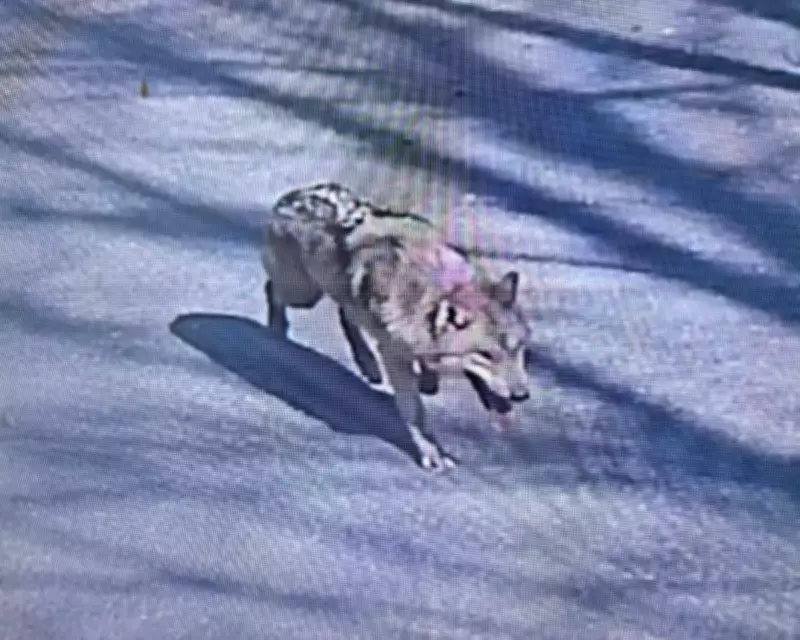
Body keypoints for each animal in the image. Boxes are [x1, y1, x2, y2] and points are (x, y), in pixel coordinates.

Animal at [261, 182, 531, 471]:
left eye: (518, 349)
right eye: (486, 355)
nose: (521, 396)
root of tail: (293, 195)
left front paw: (430, 380)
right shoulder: (394, 355)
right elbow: (414, 411)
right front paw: (432, 454)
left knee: (346, 314)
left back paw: (368, 365)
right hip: (303, 294)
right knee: (273, 290)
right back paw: (276, 332)